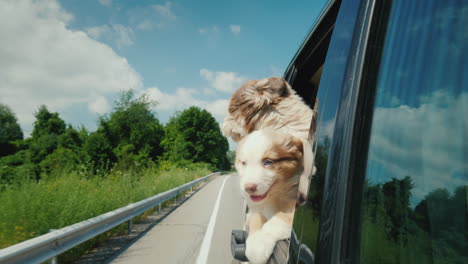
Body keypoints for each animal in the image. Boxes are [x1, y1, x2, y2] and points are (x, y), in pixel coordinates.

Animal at [238, 129, 304, 262]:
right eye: (244, 163)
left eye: (268, 162)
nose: (248, 188)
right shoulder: (256, 209)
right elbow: (255, 218)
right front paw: (256, 245)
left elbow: (280, 219)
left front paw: (262, 240)